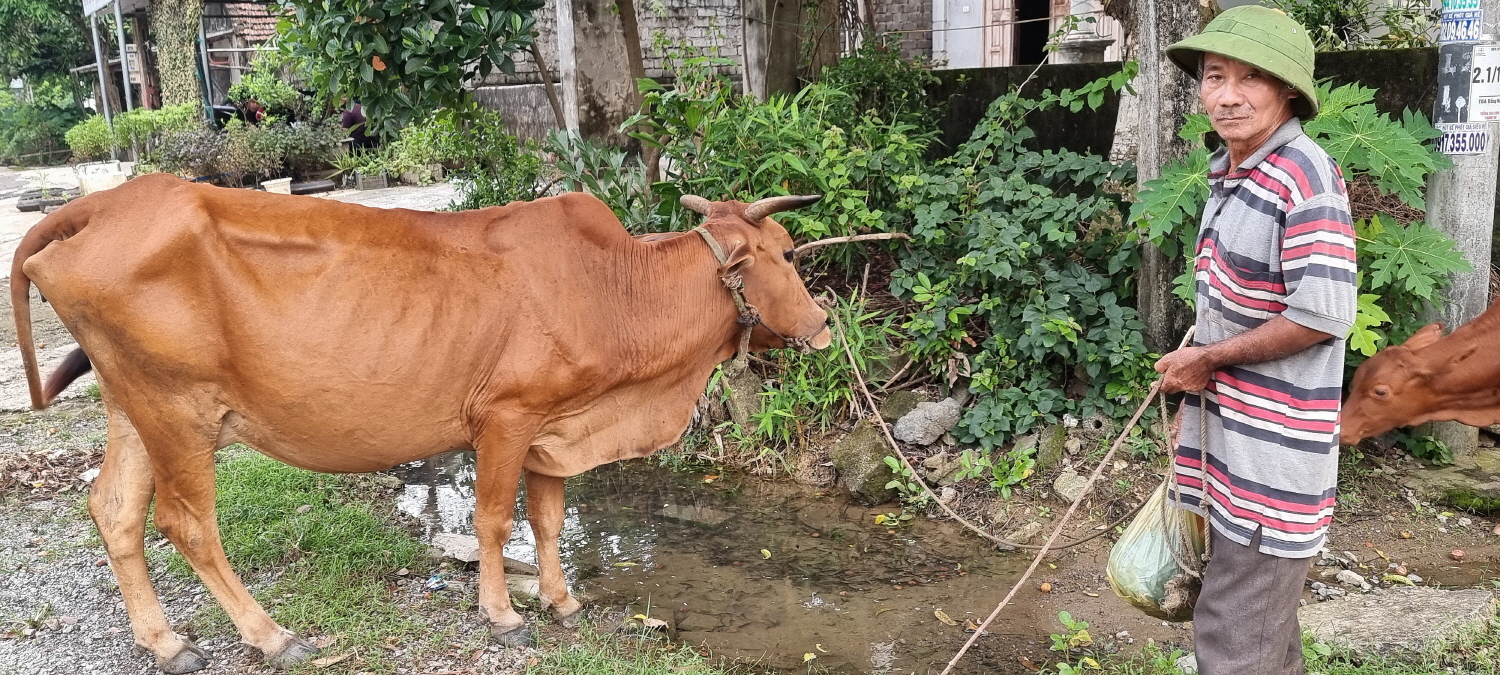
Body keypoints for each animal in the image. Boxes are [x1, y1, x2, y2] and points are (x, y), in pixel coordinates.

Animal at [11, 175, 834, 675]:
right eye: (791, 254)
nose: (826, 325)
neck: (614, 290)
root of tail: (104, 203)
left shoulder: (552, 428)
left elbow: (549, 520)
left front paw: (562, 600)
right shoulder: (507, 416)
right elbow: (497, 519)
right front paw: (503, 613)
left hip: (133, 407)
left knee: (114, 510)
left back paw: (163, 640)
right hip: (178, 413)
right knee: (187, 524)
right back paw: (269, 634)